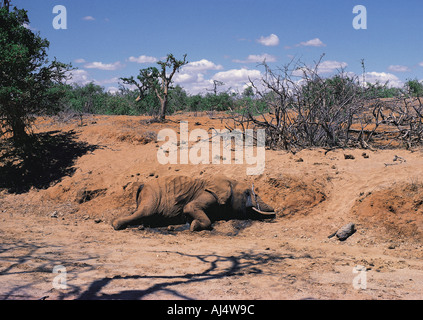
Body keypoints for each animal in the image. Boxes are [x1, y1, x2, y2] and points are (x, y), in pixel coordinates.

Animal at [112, 174, 274, 231]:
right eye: (247, 192)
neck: (229, 181)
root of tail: (142, 185)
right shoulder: (209, 195)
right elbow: (190, 207)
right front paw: (194, 226)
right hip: (152, 197)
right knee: (144, 212)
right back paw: (117, 225)